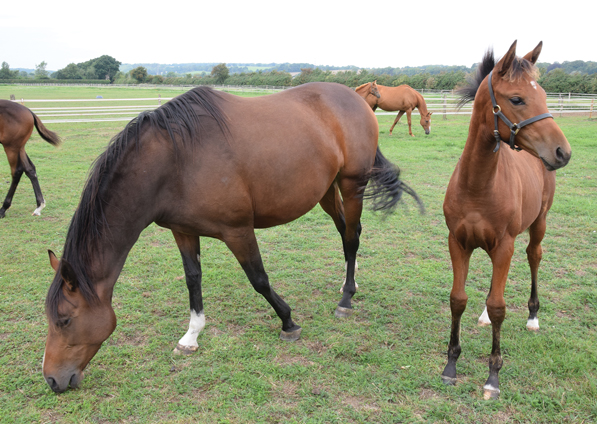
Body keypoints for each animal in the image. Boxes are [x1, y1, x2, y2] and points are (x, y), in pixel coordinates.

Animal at [42, 81, 422, 392]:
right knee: (346, 232)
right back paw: (350, 283)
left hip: (351, 183)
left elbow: (259, 279)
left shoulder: (238, 231)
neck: (175, 159)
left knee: (353, 236)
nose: (52, 379)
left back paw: (345, 299)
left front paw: (288, 321)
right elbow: (193, 279)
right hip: (327, 190)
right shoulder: (183, 231)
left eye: (64, 320)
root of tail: (356, 98)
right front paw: (192, 335)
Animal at [440, 41, 572, 400]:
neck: (477, 185)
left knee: (534, 256)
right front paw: (450, 365)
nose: (563, 152)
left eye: (544, 95)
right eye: (516, 99)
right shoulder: (458, 242)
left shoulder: (505, 245)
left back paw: (533, 317)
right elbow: (458, 299)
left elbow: (500, 305)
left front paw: (492, 377)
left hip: (538, 224)